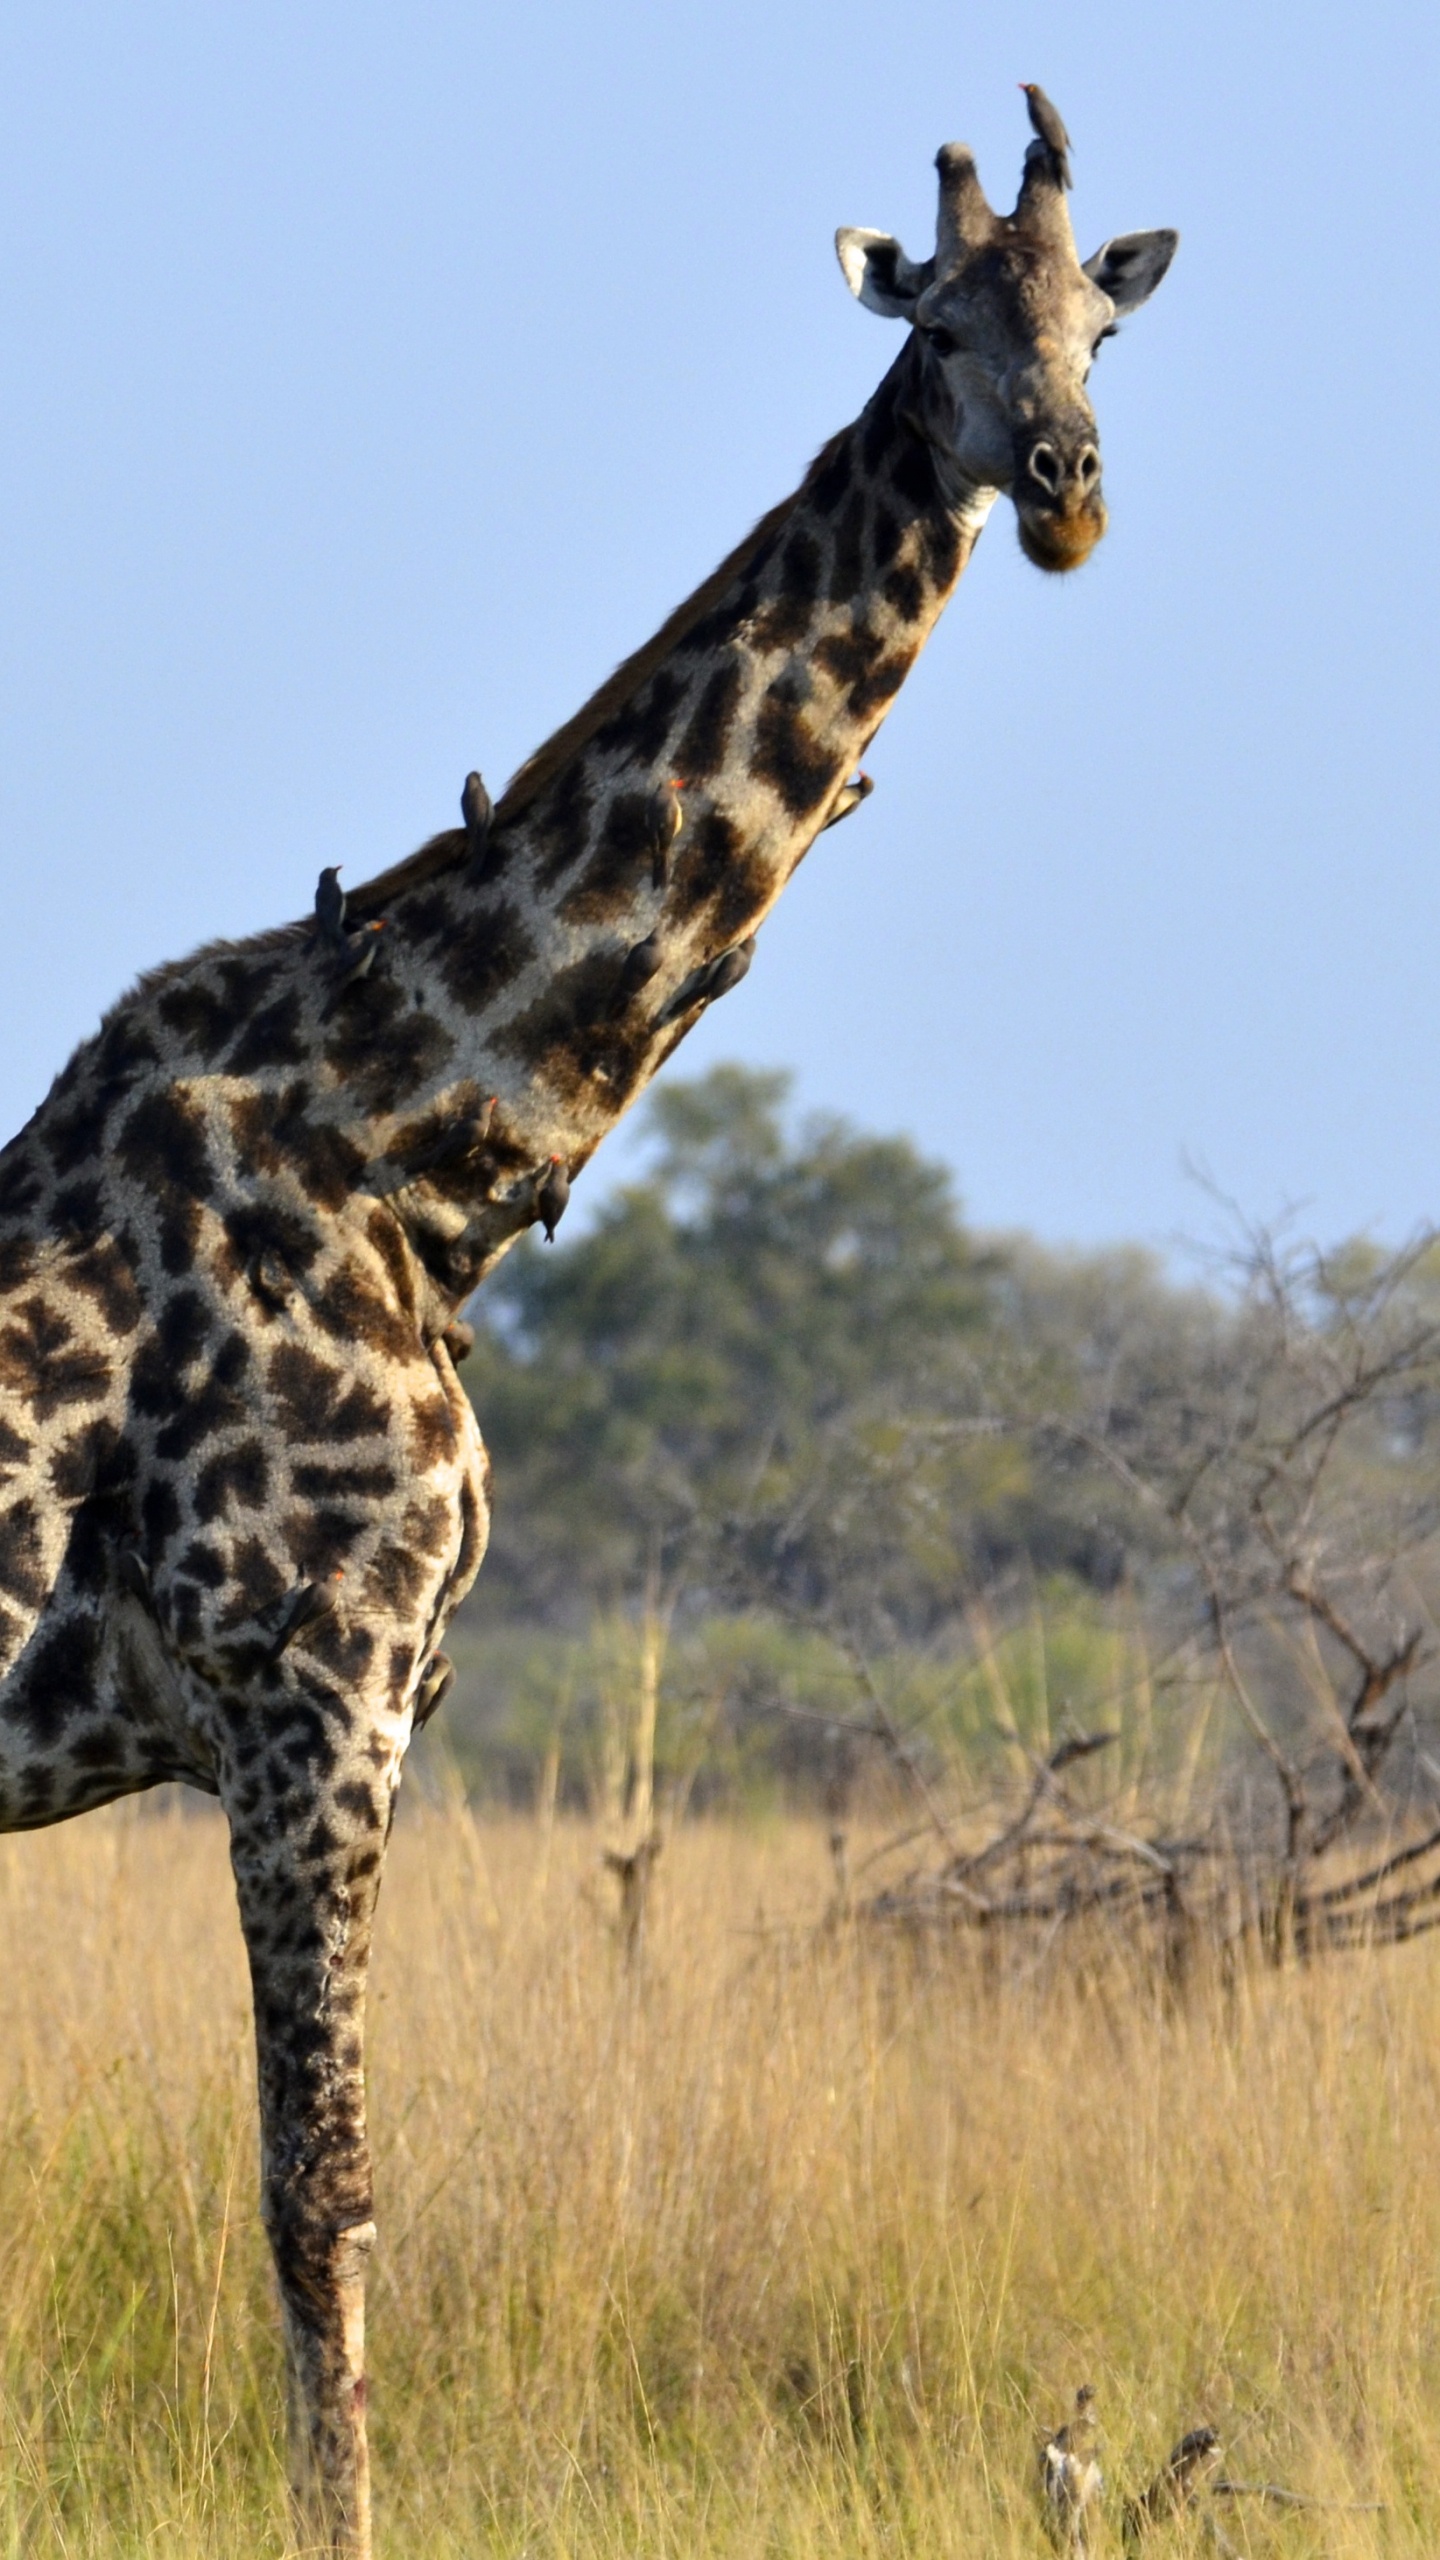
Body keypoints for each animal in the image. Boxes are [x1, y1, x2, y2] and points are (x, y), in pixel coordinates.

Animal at [0, 104, 1168, 2560]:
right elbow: (318, 2197)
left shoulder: (349, 1713)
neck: (408, 1135)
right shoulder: (309, 1692)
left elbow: (331, 2194)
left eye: (1100, 330)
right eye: (938, 322)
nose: (1067, 488)